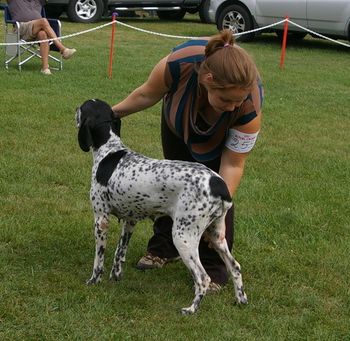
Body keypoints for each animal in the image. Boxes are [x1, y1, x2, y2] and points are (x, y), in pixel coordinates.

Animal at [75, 98, 247, 314]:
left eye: (82, 108)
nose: (74, 108)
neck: (109, 150)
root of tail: (219, 184)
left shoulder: (101, 220)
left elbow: (99, 259)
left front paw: (94, 280)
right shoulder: (130, 222)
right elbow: (119, 254)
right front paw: (115, 278)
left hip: (183, 237)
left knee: (203, 278)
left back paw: (191, 309)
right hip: (215, 235)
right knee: (235, 267)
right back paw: (240, 300)